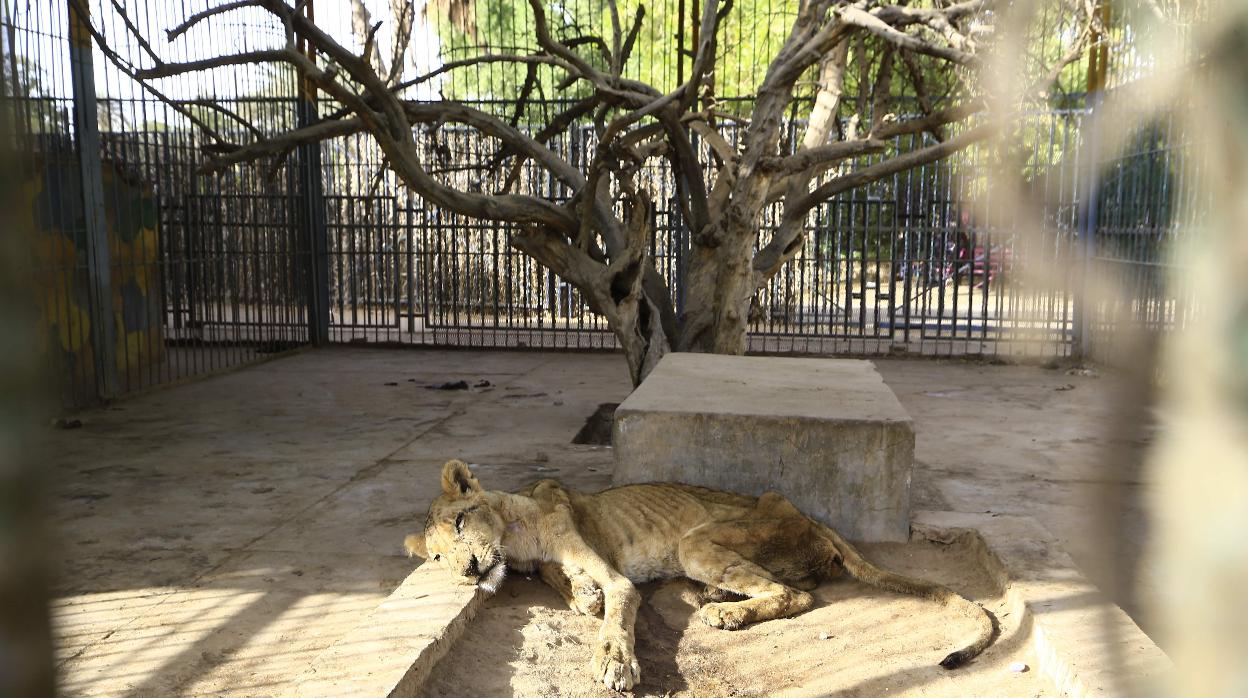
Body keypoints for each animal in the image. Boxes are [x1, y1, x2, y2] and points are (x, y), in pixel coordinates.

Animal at [404, 459, 998, 694]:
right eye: (434, 558)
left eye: (459, 523)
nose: (468, 570)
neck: (516, 534)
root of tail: (811, 517)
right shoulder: (546, 561)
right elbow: (565, 585)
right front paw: (582, 595)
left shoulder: (608, 565)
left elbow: (615, 610)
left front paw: (614, 663)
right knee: (795, 585)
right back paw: (714, 595)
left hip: (700, 539)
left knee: (795, 595)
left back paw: (724, 612)